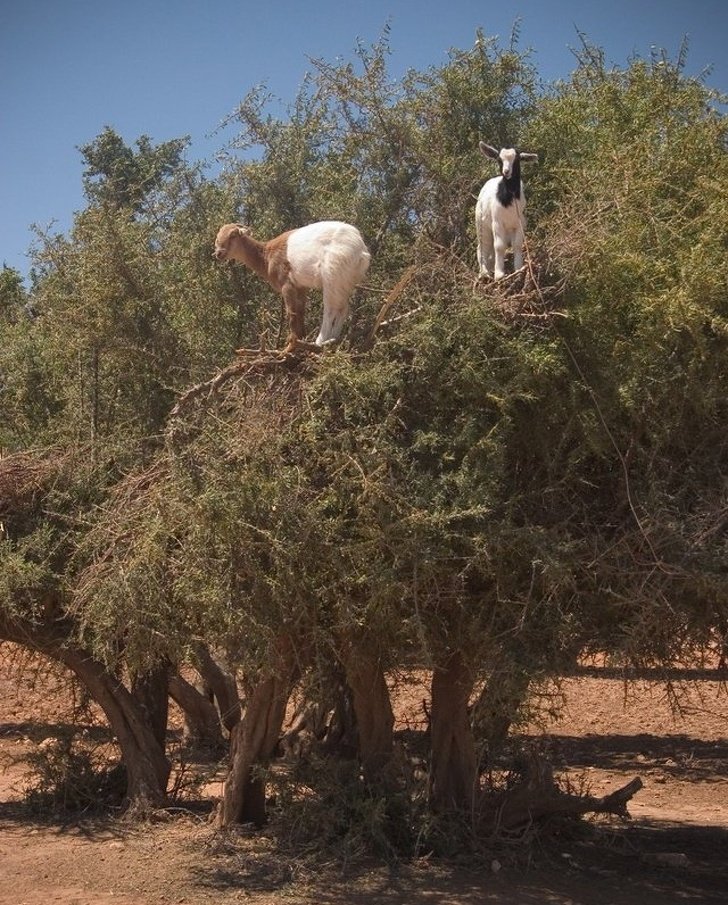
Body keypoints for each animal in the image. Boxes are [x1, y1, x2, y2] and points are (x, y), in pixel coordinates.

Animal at [210, 219, 370, 354]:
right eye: (217, 237)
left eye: (233, 235)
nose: (219, 253)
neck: (266, 257)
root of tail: (360, 249)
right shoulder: (301, 287)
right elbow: (300, 312)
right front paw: (301, 339)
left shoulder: (287, 285)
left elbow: (291, 313)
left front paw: (290, 347)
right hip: (345, 281)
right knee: (343, 309)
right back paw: (333, 340)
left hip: (332, 277)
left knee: (331, 310)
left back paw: (320, 341)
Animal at [474, 142, 536, 278]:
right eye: (499, 160)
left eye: (517, 159)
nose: (506, 172)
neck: (509, 200)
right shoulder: (497, 222)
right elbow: (499, 246)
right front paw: (499, 274)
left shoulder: (519, 222)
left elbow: (517, 244)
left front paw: (518, 268)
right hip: (482, 225)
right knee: (483, 246)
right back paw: (484, 273)